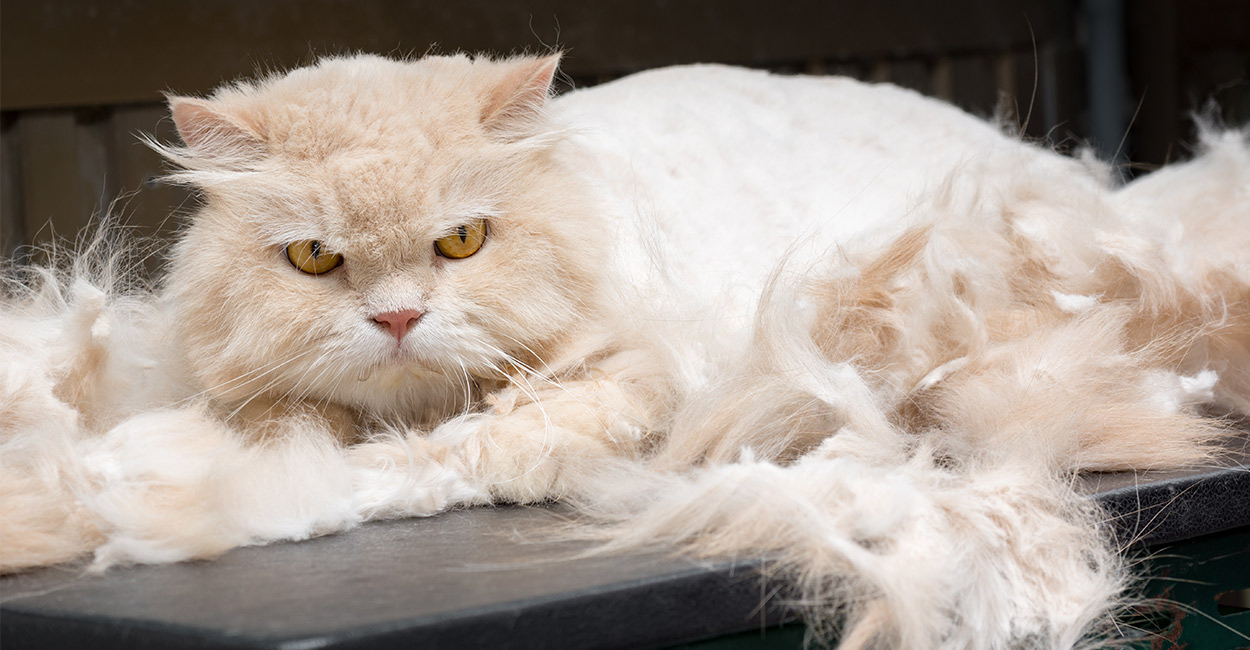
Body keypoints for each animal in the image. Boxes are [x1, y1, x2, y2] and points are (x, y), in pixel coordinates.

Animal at [2, 55, 1250, 650]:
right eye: (315, 259)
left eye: (461, 241)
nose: (397, 319)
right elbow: (282, 421)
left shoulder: (608, 394)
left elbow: (415, 465)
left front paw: (147, 490)